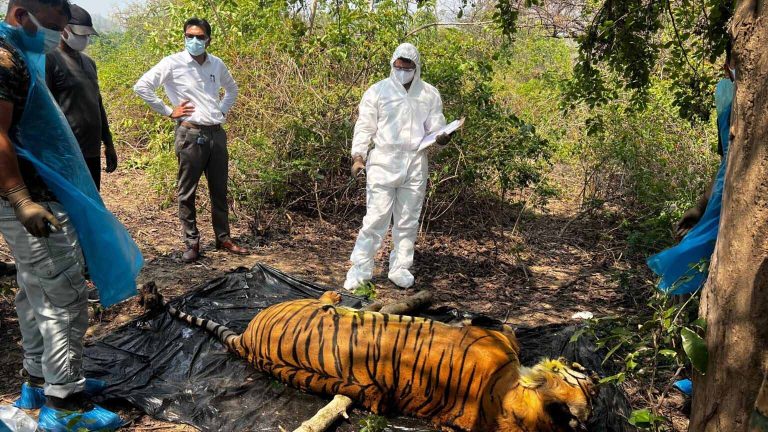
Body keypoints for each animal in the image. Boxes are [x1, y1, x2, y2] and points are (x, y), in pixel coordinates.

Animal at [140, 284, 598, 431]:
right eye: (590, 390)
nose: (591, 378)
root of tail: (247, 342)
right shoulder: (496, 338)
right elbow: (505, 326)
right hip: (300, 302)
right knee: (328, 300)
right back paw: (341, 297)